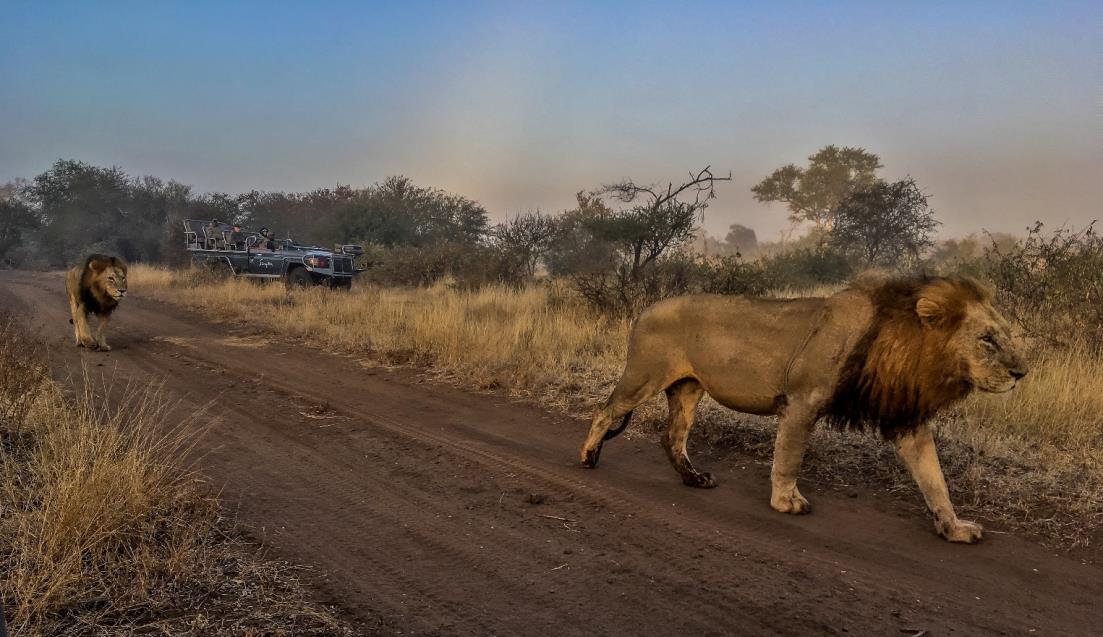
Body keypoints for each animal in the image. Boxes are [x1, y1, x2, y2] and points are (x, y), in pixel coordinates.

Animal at [582, 271, 1027, 540]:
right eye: (987, 339)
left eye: (1005, 336)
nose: (1021, 373)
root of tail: (645, 309)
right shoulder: (802, 400)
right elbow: (790, 457)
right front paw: (786, 502)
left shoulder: (906, 418)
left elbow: (935, 479)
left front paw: (954, 527)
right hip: (644, 376)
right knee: (605, 411)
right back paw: (588, 456)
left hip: (688, 388)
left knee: (672, 437)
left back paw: (695, 479)